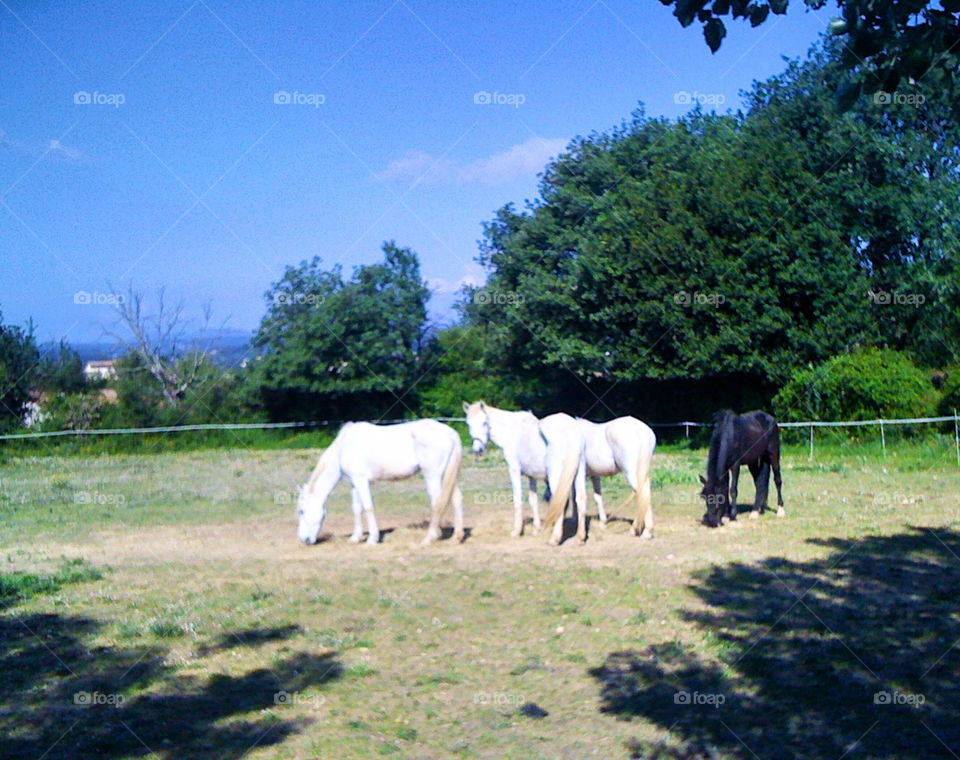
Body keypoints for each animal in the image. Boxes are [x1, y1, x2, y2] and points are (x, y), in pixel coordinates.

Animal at [296, 419, 464, 545]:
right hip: (447, 475)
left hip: (433, 476)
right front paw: (355, 538)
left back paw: (430, 537)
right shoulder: (354, 483)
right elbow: (356, 508)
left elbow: (368, 508)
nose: (304, 539)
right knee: (456, 499)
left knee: (438, 503)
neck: (343, 447)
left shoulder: (361, 481)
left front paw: (372, 539)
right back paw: (456, 537)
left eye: (301, 511)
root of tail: (449, 433)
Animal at [462, 401, 550, 536]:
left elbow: (518, 499)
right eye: (468, 424)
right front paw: (537, 529)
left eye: (484, 422)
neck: (512, 434)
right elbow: (533, 501)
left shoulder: (514, 470)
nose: (478, 450)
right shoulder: (532, 475)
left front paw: (517, 531)